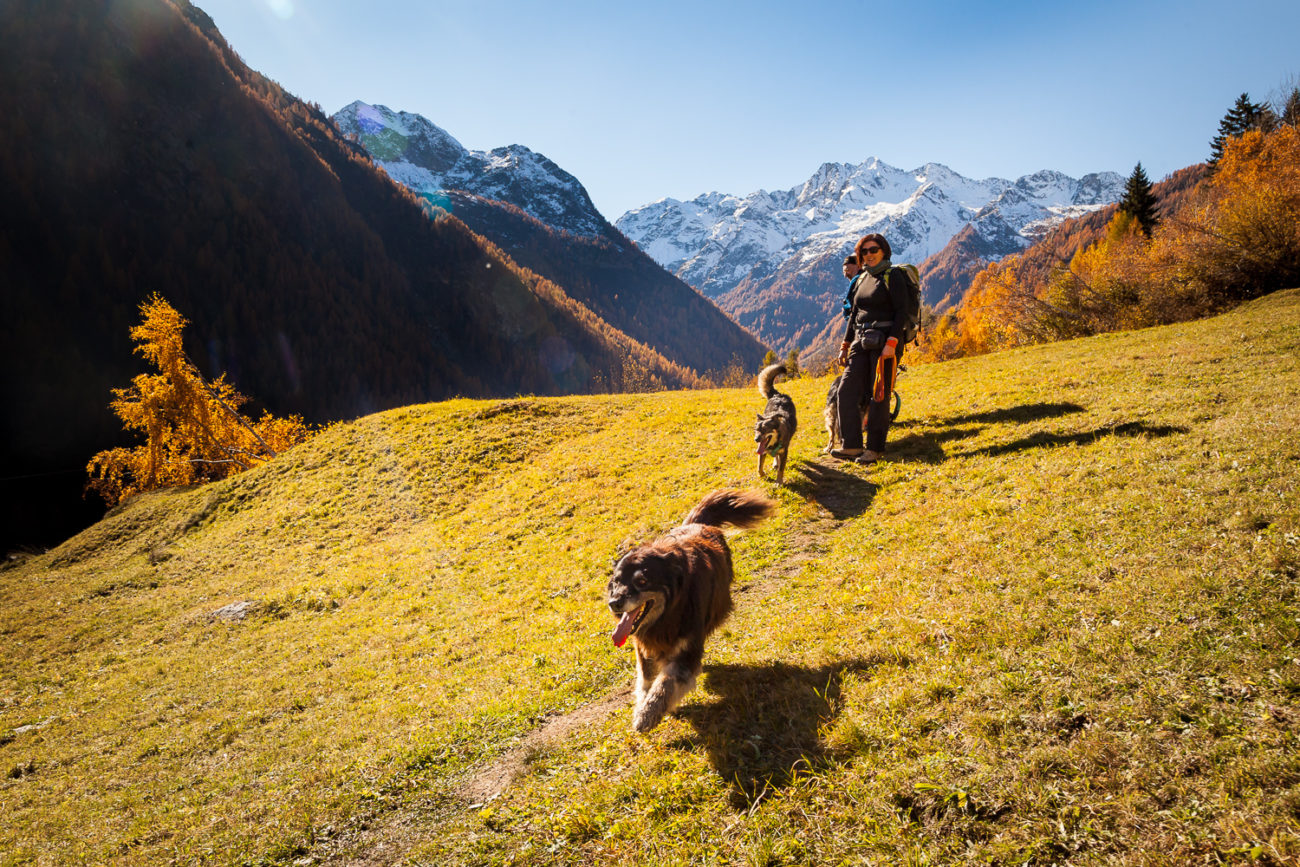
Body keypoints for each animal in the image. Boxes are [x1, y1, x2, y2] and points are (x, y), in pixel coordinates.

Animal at [605, 491, 774, 727]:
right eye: (616, 582)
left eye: (642, 581)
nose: (614, 603)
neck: (667, 615)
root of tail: (699, 524)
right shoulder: (644, 648)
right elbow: (646, 681)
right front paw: (643, 705)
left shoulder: (686, 649)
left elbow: (666, 683)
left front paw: (647, 714)